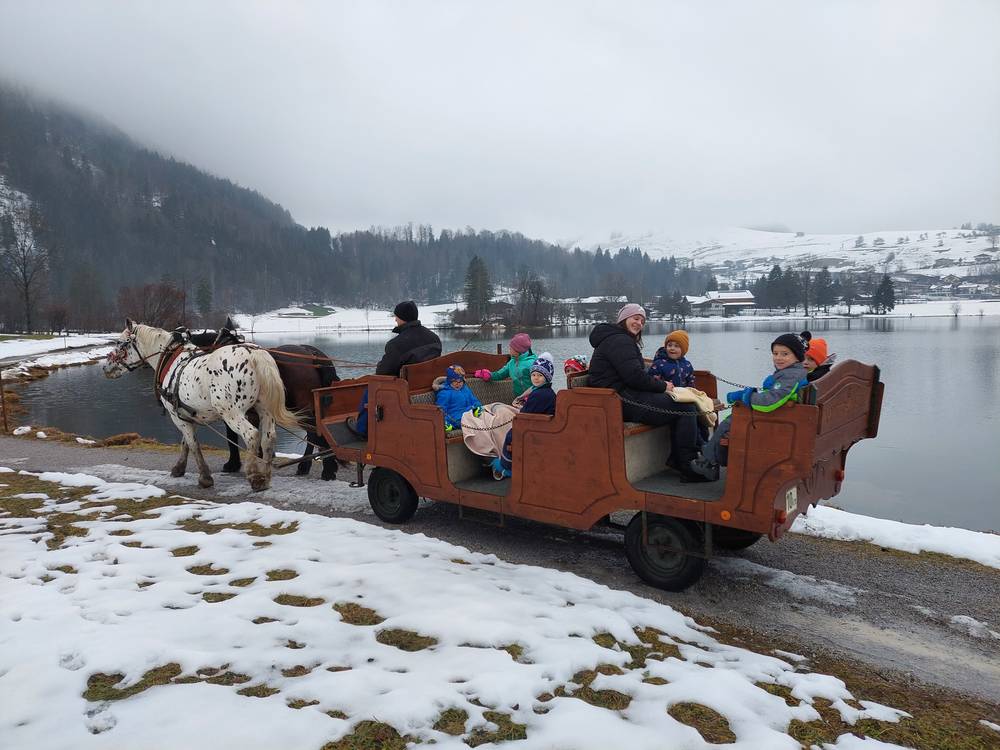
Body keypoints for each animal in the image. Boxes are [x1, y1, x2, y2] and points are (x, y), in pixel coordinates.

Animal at [103, 319, 300, 492]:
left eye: (120, 343)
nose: (106, 368)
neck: (170, 361)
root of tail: (255, 356)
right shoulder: (187, 413)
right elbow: (185, 442)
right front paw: (179, 468)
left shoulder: (176, 416)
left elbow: (192, 443)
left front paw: (205, 478)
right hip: (265, 410)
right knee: (268, 438)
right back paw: (265, 476)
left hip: (232, 413)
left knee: (252, 435)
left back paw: (254, 476)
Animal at [182, 323, 340, 481]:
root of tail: (313, 354)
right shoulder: (253, 413)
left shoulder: (230, 410)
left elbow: (231, 437)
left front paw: (233, 464)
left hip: (301, 409)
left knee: (315, 432)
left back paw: (323, 469)